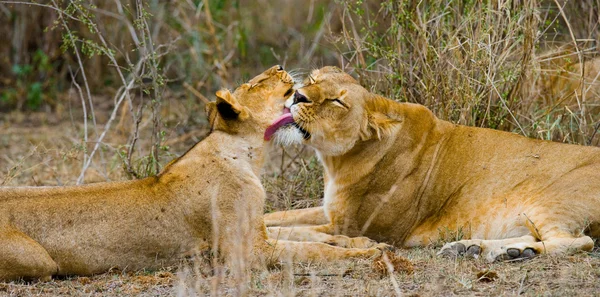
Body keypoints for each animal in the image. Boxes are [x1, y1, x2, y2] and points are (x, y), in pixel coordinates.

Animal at [1, 66, 384, 280]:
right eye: (255, 84)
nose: (279, 65)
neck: (248, 155)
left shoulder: (258, 231)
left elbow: (306, 235)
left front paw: (361, 242)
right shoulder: (247, 253)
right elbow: (310, 250)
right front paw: (366, 255)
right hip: (40, 261)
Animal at [268, 66, 600, 260]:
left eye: (337, 101)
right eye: (312, 81)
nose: (297, 96)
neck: (337, 161)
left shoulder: (357, 227)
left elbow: (296, 231)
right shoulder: (329, 211)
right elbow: (279, 215)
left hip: (554, 199)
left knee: (579, 241)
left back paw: (515, 253)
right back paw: (480, 249)